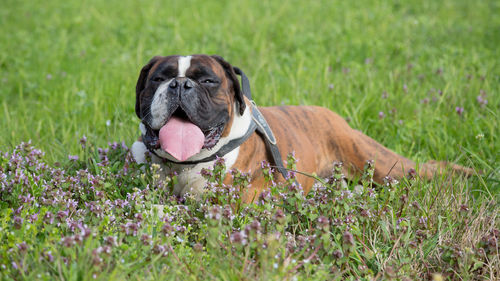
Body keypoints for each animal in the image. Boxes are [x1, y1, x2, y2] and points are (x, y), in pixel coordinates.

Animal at [132, 53, 472, 201]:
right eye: (159, 78)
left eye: (206, 80)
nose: (180, 84)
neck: (186, 164)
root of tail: (329, 114)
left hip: (383, 165)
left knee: (429, 169)